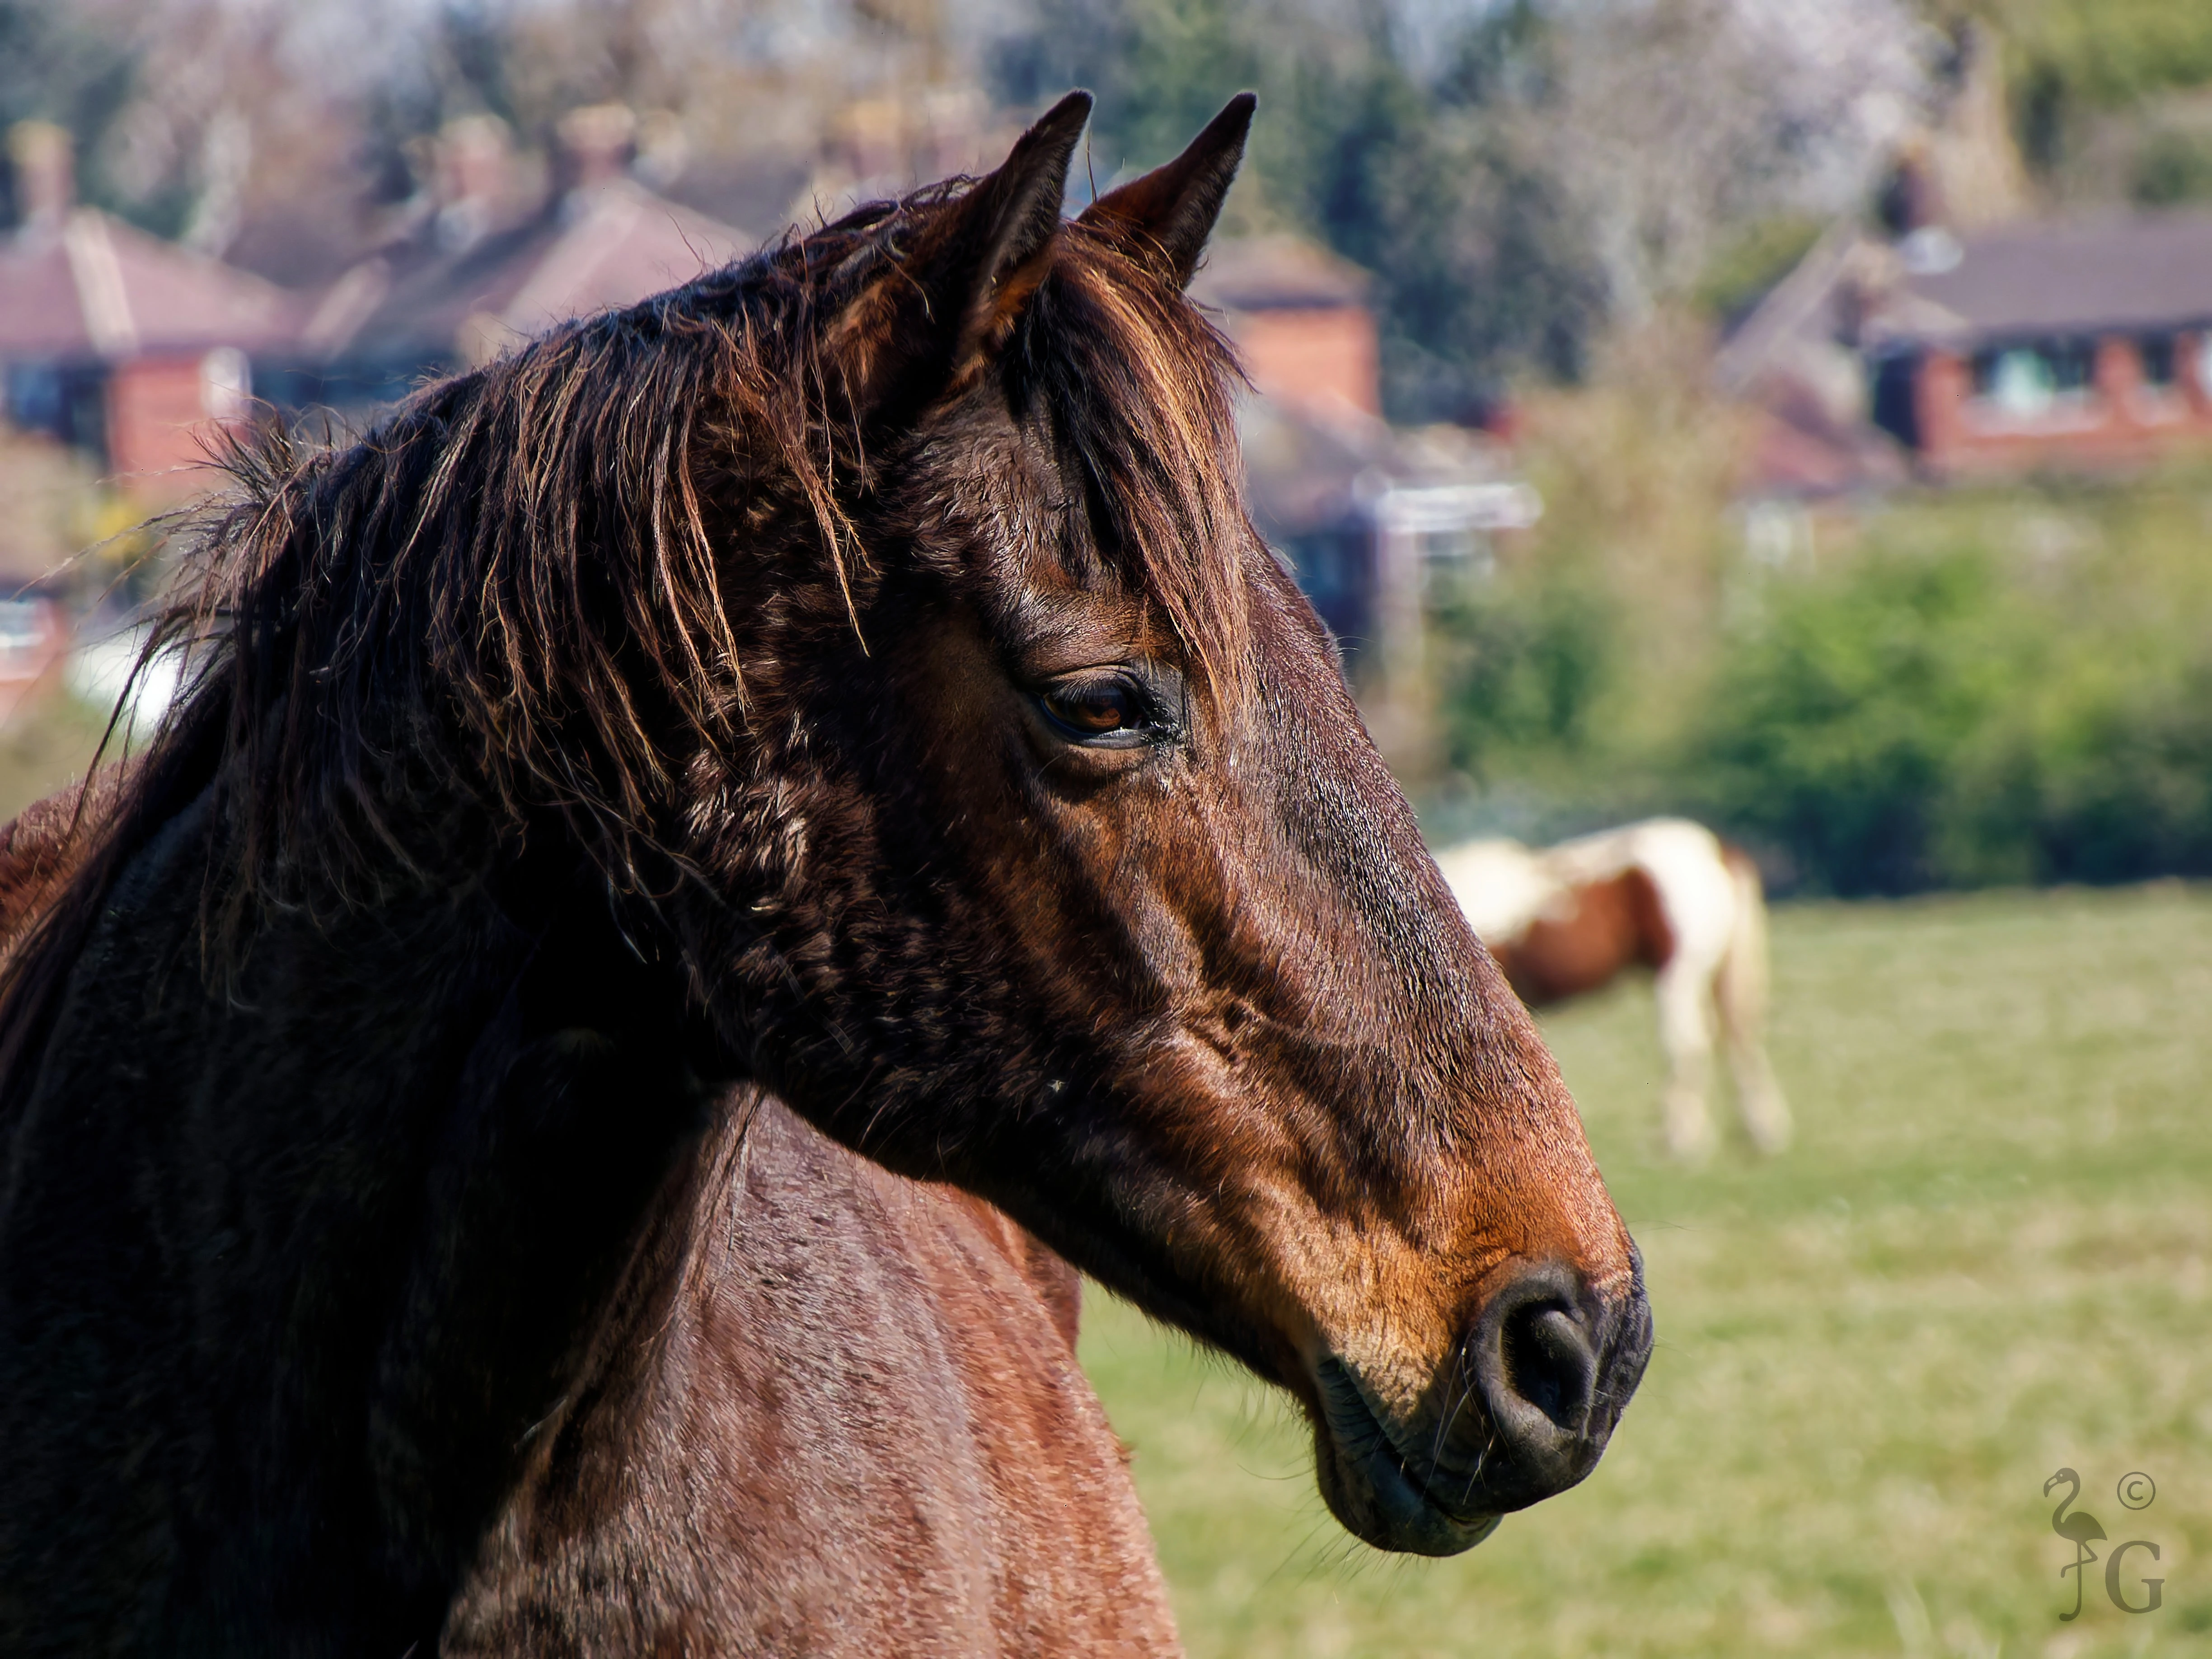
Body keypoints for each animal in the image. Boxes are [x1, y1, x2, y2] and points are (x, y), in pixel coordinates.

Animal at [1435, 817, 1789, 1162]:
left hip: (1678, 976)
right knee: (1736, 1038)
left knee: (1688, 1046)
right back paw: (1758, 1131)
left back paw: (1684, 1141)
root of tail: (1716, 848)